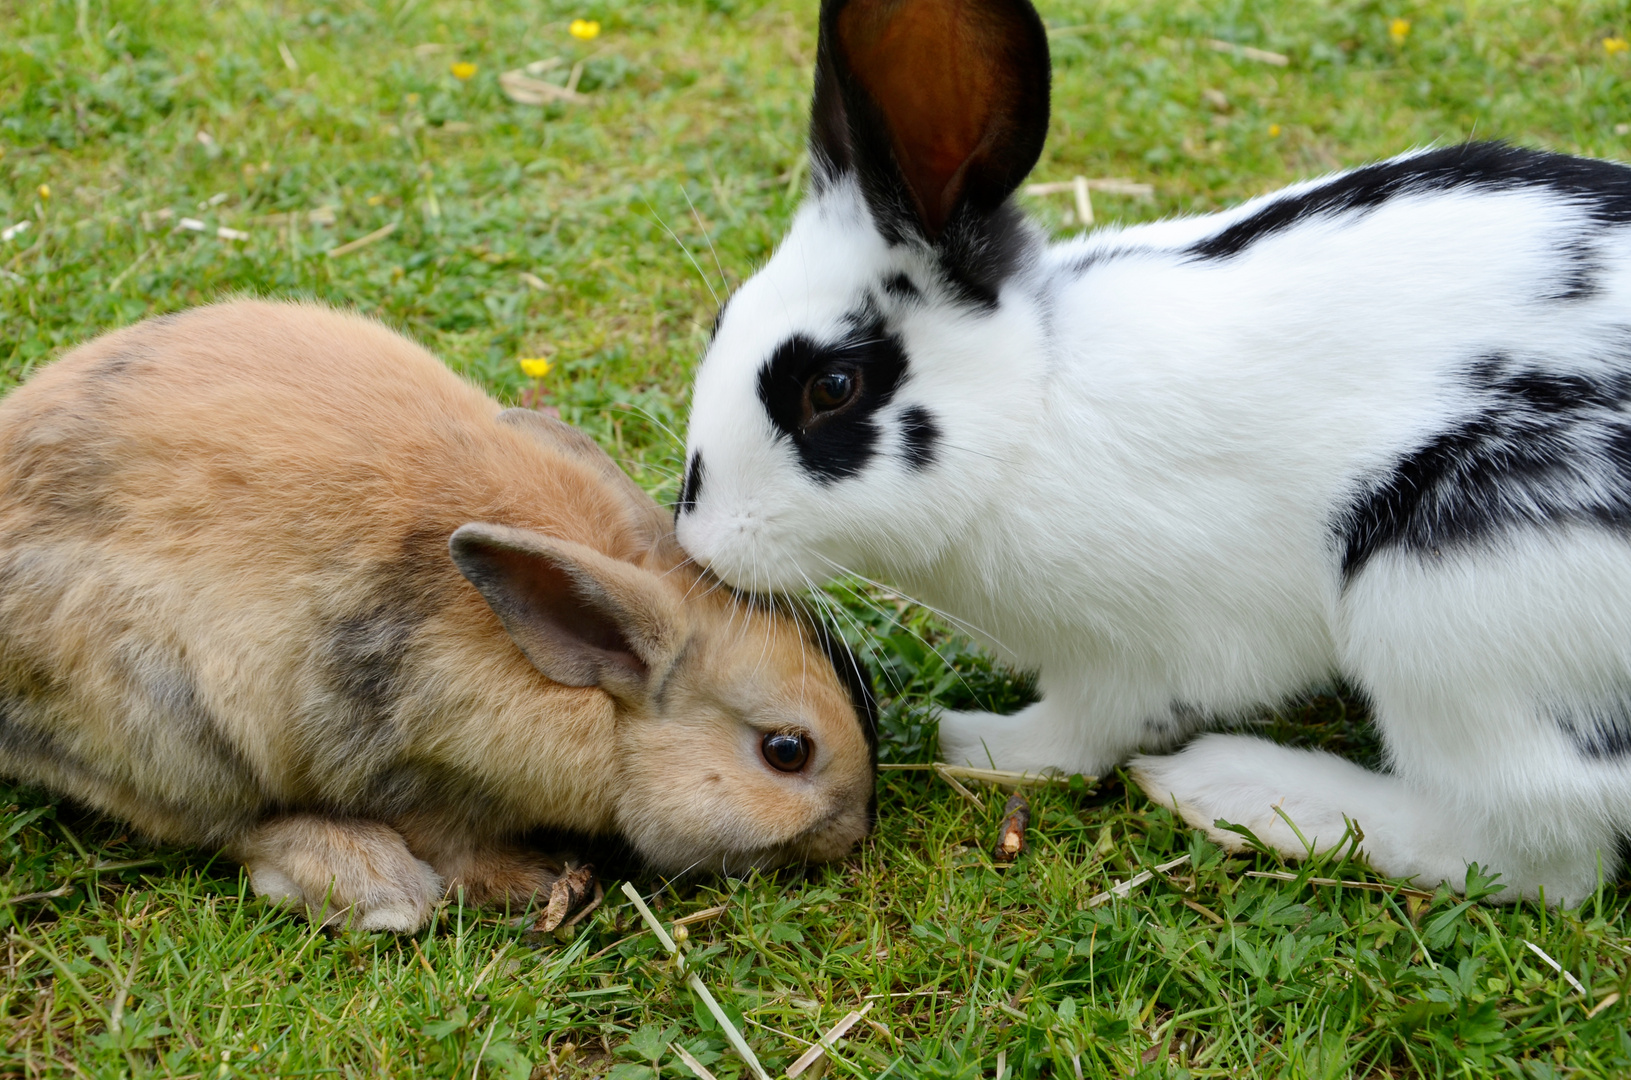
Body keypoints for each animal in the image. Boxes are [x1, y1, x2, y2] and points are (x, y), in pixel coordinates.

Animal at [0, 300, 880, 933]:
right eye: (786, 752)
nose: (854, 832)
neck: (587, 700)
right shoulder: (413, 765)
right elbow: (452, 845)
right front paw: (537, 882)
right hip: (179, 722)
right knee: (217, 822)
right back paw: (373, 887)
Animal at [668, 0, 1631, 907]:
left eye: (831, 387)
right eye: (721, 322)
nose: (698, 541)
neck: (1032, 404)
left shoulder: (1138, 654)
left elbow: (1076, 735)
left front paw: (971, 738)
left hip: (1446, 598)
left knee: (1532, 849)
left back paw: (1234, 789)